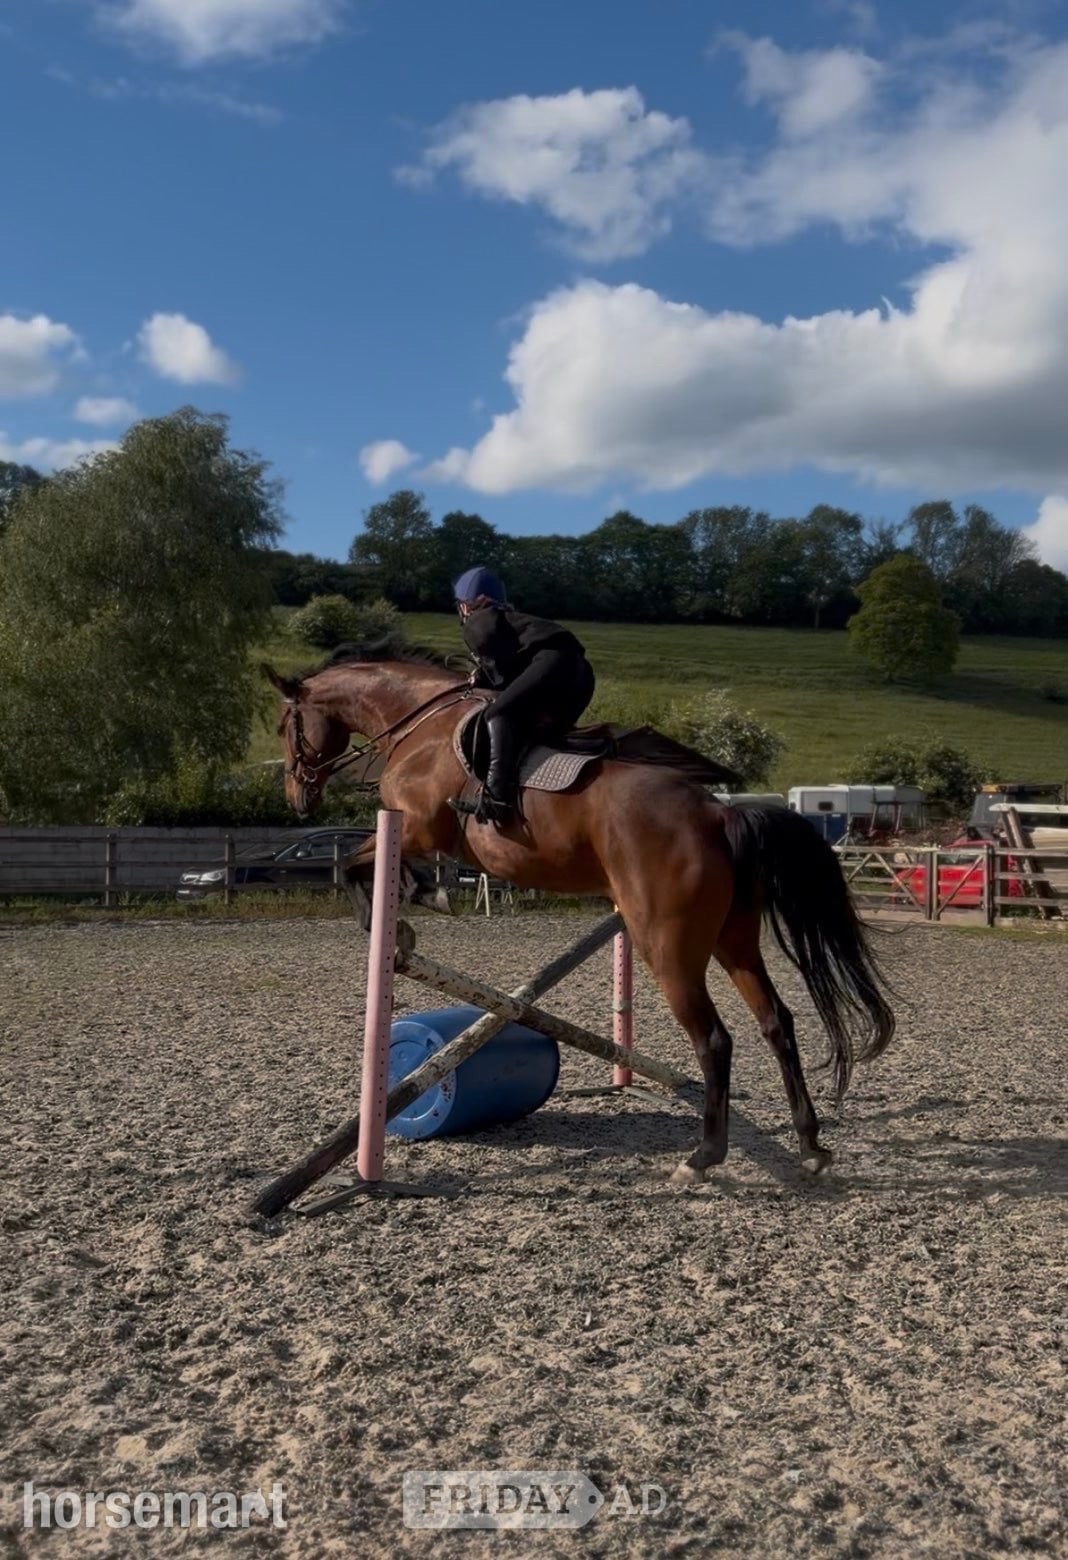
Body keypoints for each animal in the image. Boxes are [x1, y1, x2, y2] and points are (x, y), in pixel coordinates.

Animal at [262, 644, 894, 1183]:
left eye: (284, 727)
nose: (297, 798)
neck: (418, 726)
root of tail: (721, 814)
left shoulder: (414, 826)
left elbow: (354, 864)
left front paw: (403, 915)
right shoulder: (420, 833)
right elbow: (366, 865)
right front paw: (416, 904)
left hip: (666, 945)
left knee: (715, 1039)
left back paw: (703, 1156)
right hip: (733, 940)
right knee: (776, 1022)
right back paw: (810, 1145)